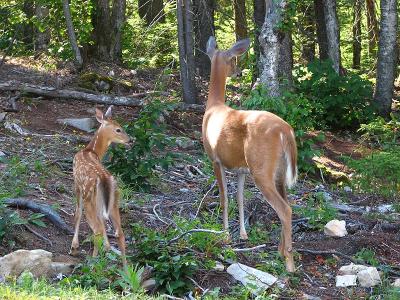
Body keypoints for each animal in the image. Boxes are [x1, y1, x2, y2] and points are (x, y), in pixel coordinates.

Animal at [69, 106, 130, 266]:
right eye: (118, 129)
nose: (130, 140)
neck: (91, 151)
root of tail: (103, 179)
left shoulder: (76, 184)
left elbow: (77, 213)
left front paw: (74, 246)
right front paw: (107, 247)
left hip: (89, 197)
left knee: (96, 229)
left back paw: (93, 261)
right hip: (114, 202)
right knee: (120, 233)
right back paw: (126, 268)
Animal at [203, 37, 296, 272]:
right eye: (234, 60)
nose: (238, 73)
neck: (213, 107)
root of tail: (286, 131)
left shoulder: (215, 159)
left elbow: (224, 198)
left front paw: (226, 235)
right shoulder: (241, 169)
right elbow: (240, 197)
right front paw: (243, 234)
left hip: (261, 168)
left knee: (285, 209)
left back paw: (289, 263)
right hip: (278, 171)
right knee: (287, 203)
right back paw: (281, 251)